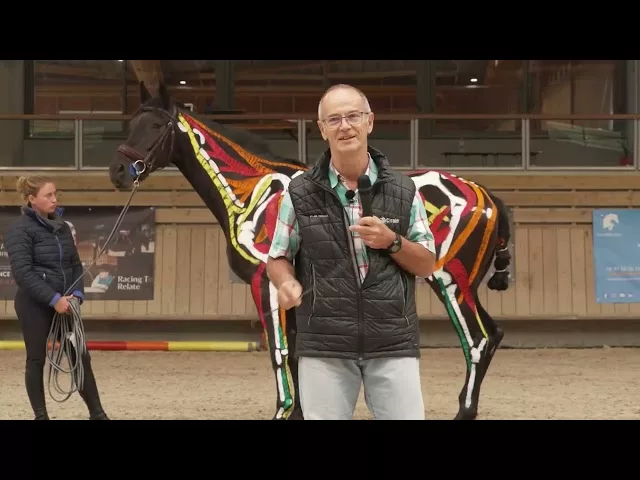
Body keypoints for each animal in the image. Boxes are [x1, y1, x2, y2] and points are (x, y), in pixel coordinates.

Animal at [107, 81, 512, 420]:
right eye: (133, 122)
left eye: (156, 125)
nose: (119, 171)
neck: (249, 194)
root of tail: (488, 196)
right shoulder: (294, 293)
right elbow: (298, 355)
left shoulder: (265, 285)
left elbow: (279, 353)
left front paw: (283, 412)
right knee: (492, 336)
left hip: (451, 282)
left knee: (478, 340)